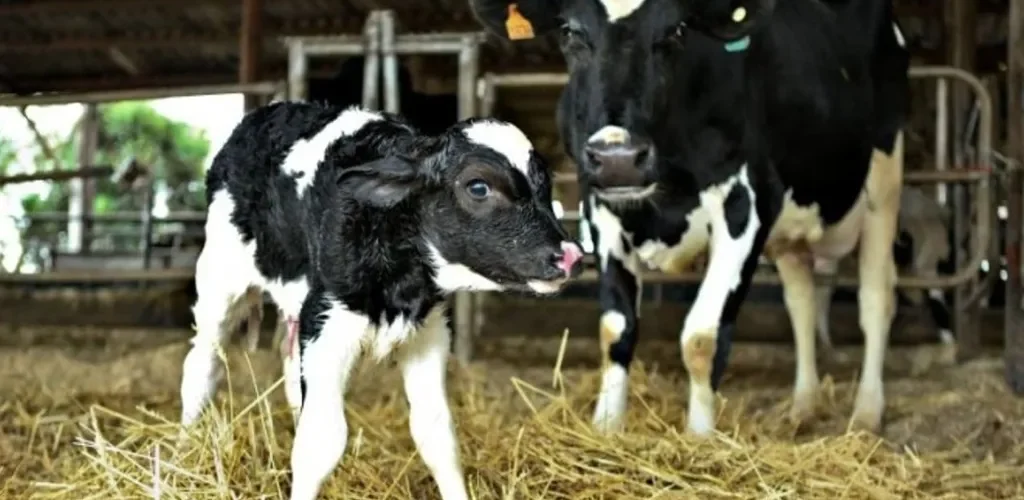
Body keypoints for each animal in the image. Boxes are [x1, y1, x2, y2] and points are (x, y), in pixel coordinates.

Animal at [470, 0, 910, 435]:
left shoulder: (747, 203)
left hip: (884, 184)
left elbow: (702, 336)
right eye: (570, 31)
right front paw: (606, 429)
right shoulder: (600, 209)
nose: (618, 159)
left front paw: (699, 437)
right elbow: (615, 328)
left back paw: (866, 414)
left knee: (875, 298)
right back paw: (802, 407)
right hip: (791, 230)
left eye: (677, 31)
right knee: (800, 299)